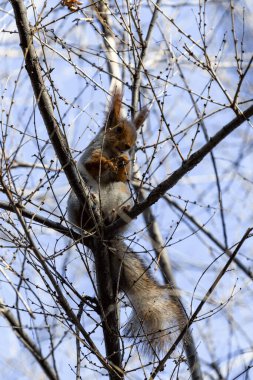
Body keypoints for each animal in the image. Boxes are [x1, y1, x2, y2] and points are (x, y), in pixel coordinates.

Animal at [67, 90, 182, 354]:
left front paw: (123, 166)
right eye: (118, 129)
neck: (111, 150)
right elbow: (92, 164)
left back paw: (119, 213)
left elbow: (122, 175)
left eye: (135, 135)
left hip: (122, 197)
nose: (129, 147)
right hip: (77, 204)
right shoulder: (91, 152)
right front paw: (106, 164)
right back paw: (91, 210)